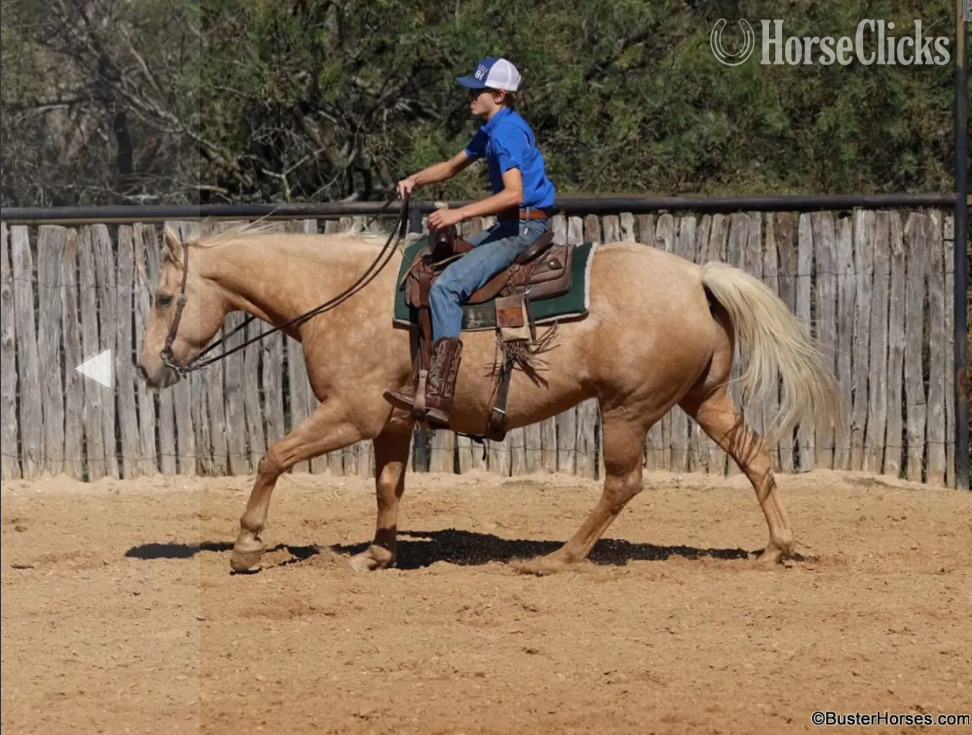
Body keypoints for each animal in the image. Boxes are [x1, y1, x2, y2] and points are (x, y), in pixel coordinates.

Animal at [136, 223, 842, 574]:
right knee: (755, 457)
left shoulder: (352, 413)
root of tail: (697, 277)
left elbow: (273, 457)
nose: (146, 367)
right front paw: (378, 553)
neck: (340, 293)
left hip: (627, 408)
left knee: (624, 482)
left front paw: (247, 547)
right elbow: (387, 485)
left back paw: (559, 559)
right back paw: (776, 549)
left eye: (165, 297)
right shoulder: (393, 420)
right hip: (704, 398)